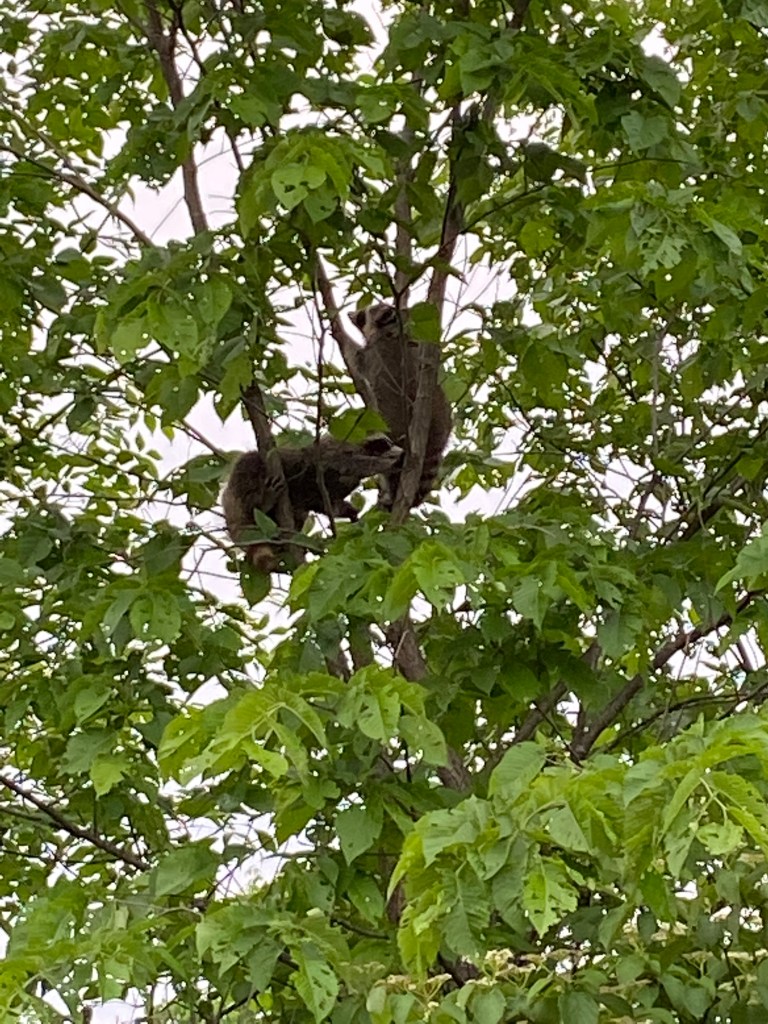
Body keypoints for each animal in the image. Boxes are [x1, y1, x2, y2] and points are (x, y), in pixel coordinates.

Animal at [222, 434, 403, 571]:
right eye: (388, 445)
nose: (399, 450)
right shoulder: (333, 451)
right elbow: (349, 463)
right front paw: (391, 462)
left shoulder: (324, 490)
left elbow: (326, 504)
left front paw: (348, 510)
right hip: (241, 489)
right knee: (249, 461)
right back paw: (260, 502)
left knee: (300, 513)